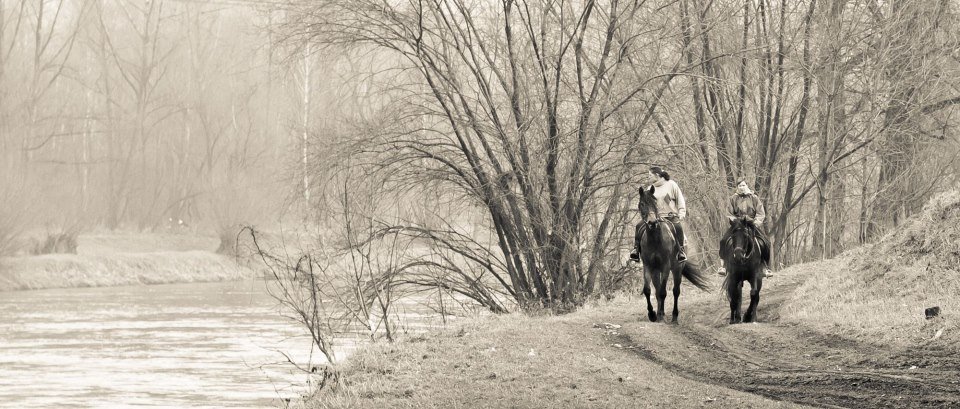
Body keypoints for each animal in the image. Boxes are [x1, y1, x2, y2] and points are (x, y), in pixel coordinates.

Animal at [636, 185, 712, 322]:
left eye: (655, 202)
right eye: (642, 204)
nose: (652, 222)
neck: (655, 239)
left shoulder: (666, 266)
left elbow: (663, 292)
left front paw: (660, 315)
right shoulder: (648, 266)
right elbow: (648, 290)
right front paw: (652, 314)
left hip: (677, 268)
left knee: (676, 291)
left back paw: (674, 317)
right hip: (656, 271)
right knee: (657, 289)